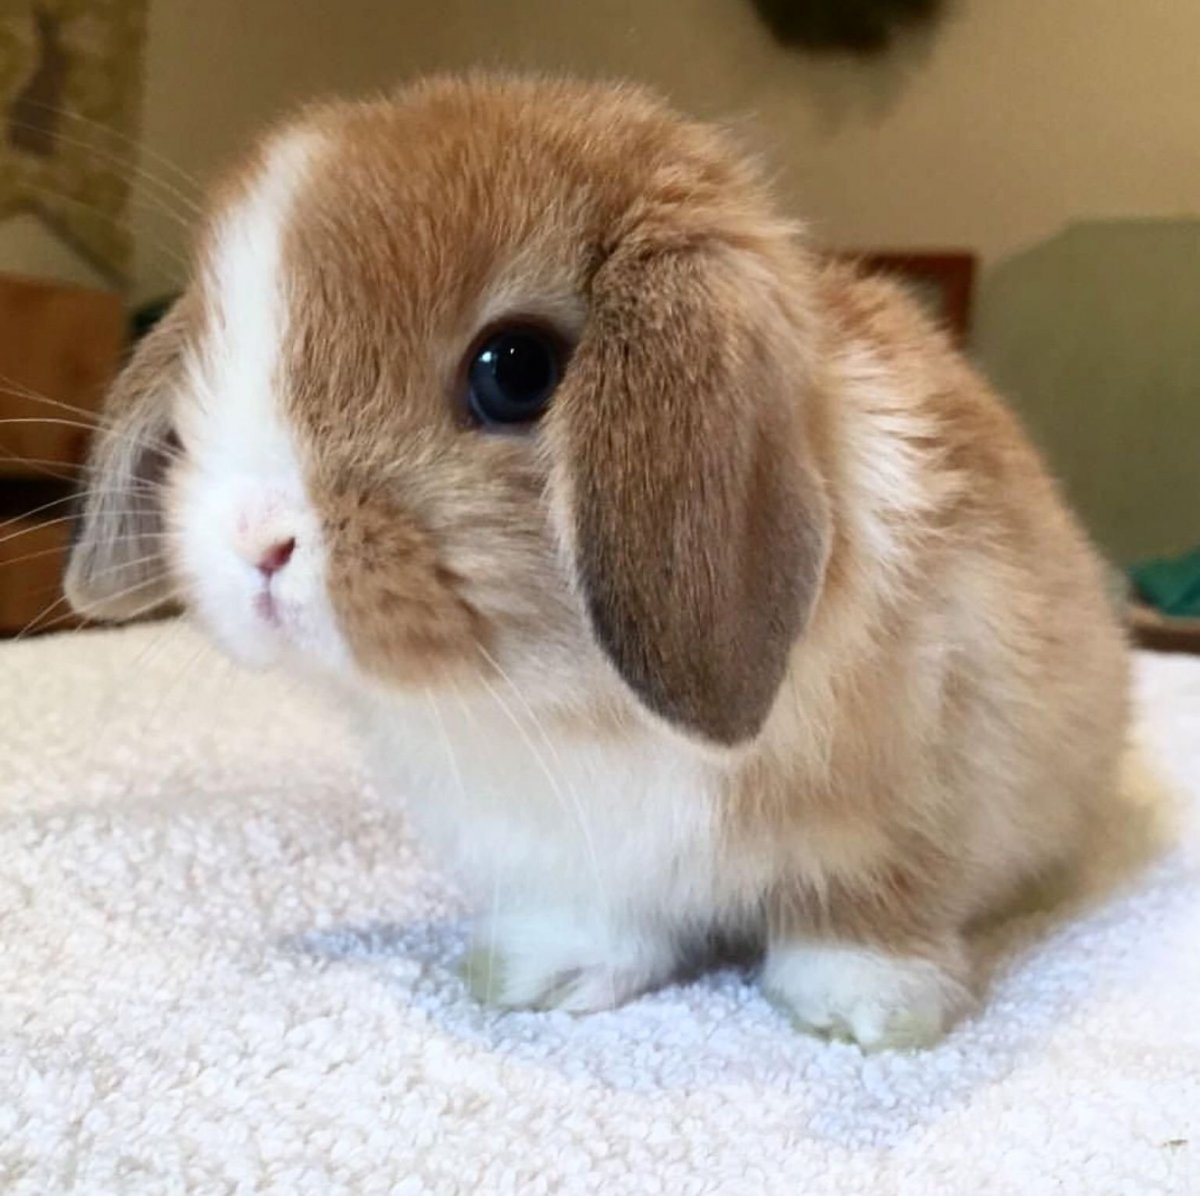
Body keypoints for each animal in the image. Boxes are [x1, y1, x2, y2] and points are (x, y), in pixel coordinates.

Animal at [64, 74, 1130, 1049]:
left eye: (514, 371)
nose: (255, 540)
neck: (571, 705)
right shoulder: (574, 855)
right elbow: (604, 921)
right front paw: (541, 978)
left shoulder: (925, 786)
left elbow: (867, 905)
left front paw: (867, 1010)